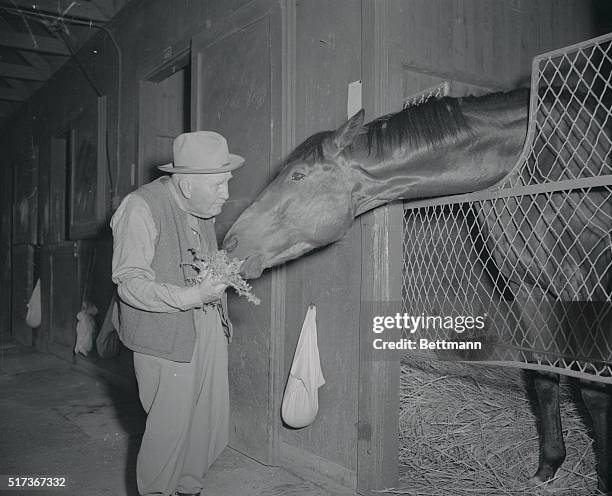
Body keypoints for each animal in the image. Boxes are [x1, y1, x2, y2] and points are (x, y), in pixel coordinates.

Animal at [222, 88, 608, 492]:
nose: (230, 242)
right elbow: (545, 378)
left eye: (297, 175)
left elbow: (594, 390)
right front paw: (547, 468)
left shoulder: (590, 282)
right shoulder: (528, 289)